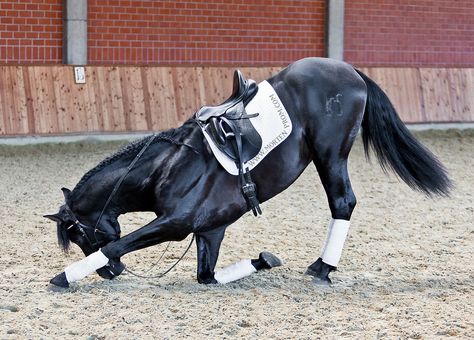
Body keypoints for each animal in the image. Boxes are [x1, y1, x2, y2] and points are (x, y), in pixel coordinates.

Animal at [45, 57, 452, 286]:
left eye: (78, 233)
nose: (109, 273)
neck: (167, 166)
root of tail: (352, 71)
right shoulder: (209, 230)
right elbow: (207, 276)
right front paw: (262, 262)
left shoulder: (176, 223)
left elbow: (116, 243)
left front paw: (65, 277)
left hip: (330, 154)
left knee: (343, 202)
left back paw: (322, 268)